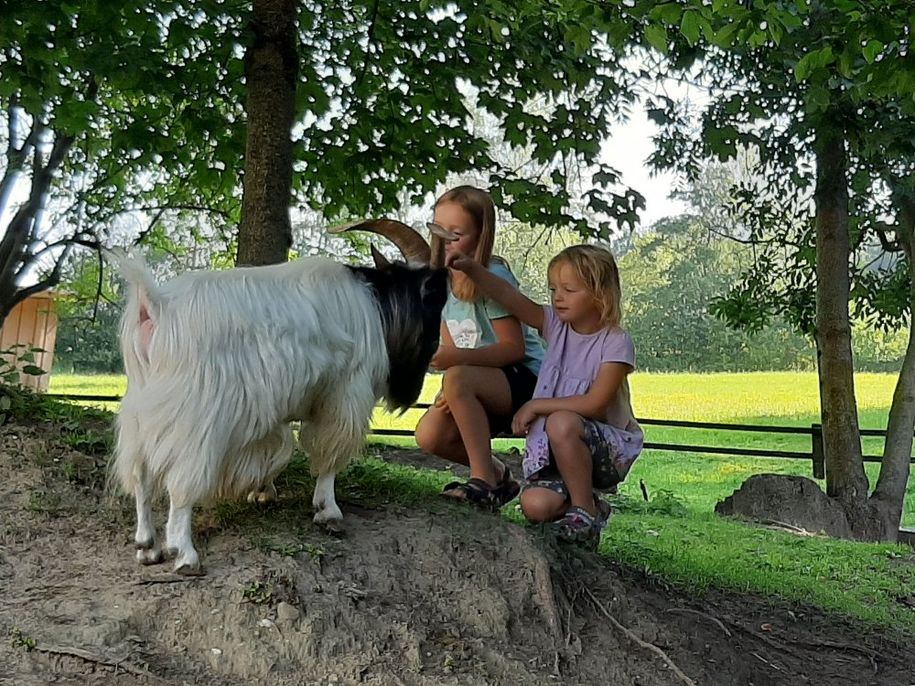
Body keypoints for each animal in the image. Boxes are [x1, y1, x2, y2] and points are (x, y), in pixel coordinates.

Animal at [112, 224, 450, 576]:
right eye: (435, 295)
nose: (437, 353)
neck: (374, 305)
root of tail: (154, 306)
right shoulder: (344, 393)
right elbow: (329, 452)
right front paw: (328, 511)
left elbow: (274, 447)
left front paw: (263, 492)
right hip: (195, 418)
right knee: (180, 481)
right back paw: (185, 554)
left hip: (142, 413)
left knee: (140, 475)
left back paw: (147, 546)